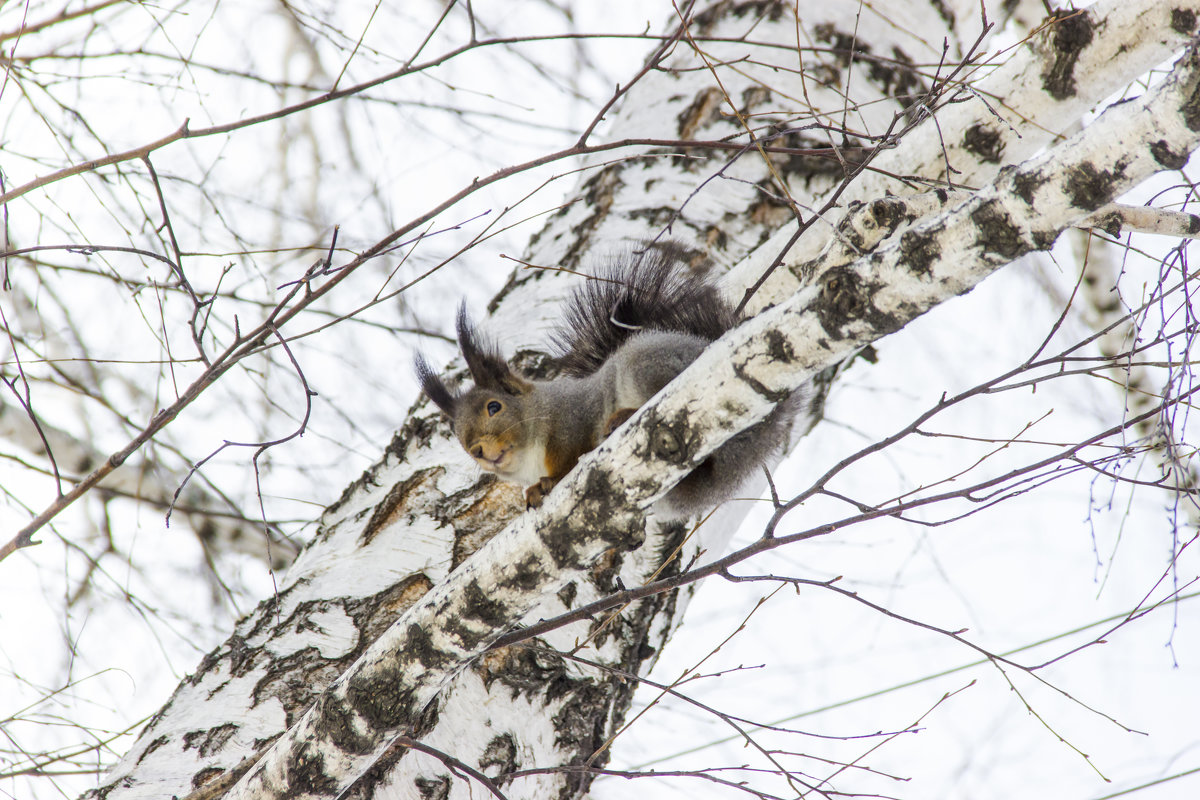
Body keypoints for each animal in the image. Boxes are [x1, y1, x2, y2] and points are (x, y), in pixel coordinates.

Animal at [417, 247, 801, 515]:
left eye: (494, 407)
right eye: (458, 437)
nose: (478, 451)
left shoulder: (574, 417)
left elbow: (570, 455)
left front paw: (549, 482)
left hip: (647, 366)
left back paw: (623, 417)